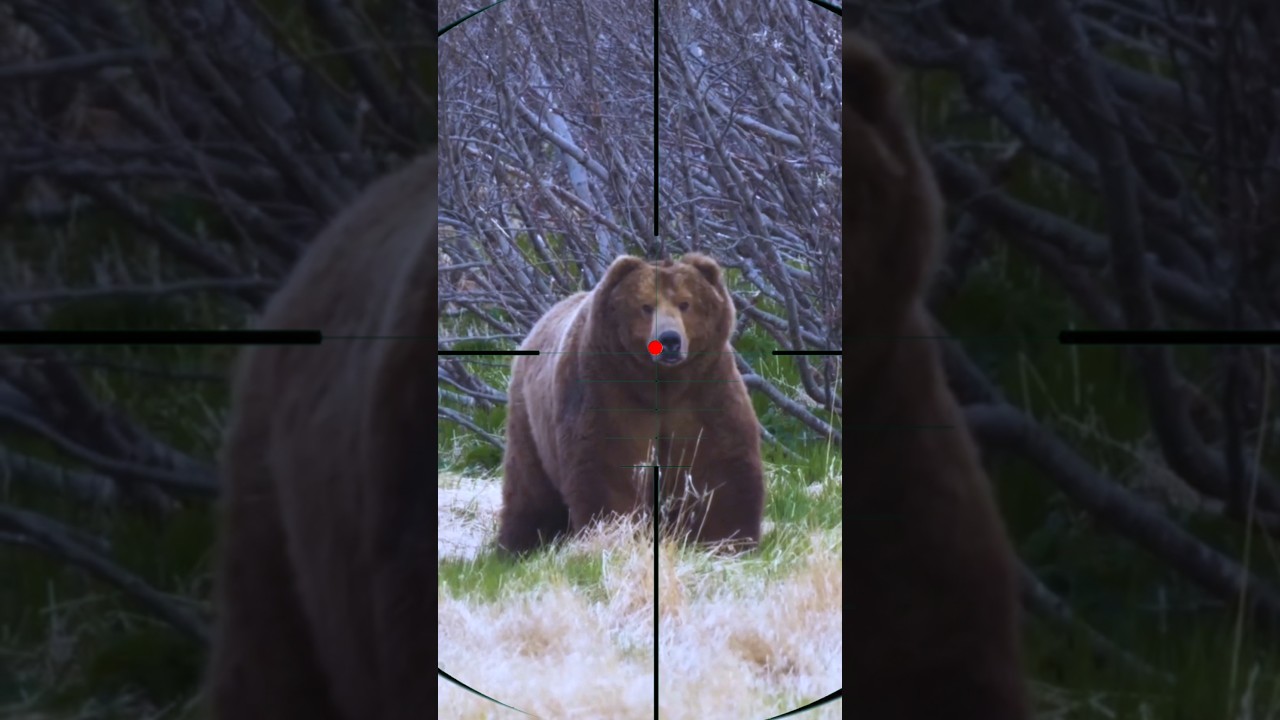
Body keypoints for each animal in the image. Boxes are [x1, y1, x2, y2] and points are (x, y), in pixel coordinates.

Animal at [497, 253, 765, 554]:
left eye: (685, 303)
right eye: (645, 306)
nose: (669, 340)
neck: (662, 384)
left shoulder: (704, 392)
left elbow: (719, 468)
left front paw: (729, 541)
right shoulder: (609, 392)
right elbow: (609, 468)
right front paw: (617, 534)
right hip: (529, 418)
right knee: (530, 488)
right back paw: (518, 545)